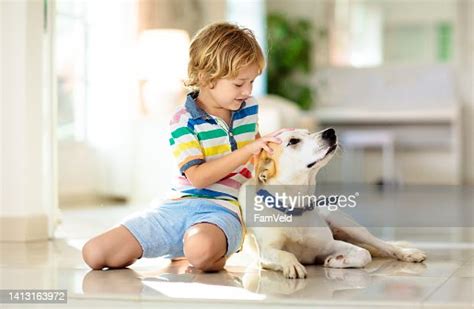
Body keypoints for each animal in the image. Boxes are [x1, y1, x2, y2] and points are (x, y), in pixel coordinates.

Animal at [239, 129, 428, 278]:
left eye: (308, 132)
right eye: (293, 141)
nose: (330, 131)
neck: (295, 205)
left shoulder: (329, 245)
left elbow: (364, 253)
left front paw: (337, 261)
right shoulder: (264, 252)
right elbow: (283, 254)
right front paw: (292, 264)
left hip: (346, 224)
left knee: (382, 245)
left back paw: (407, 253)